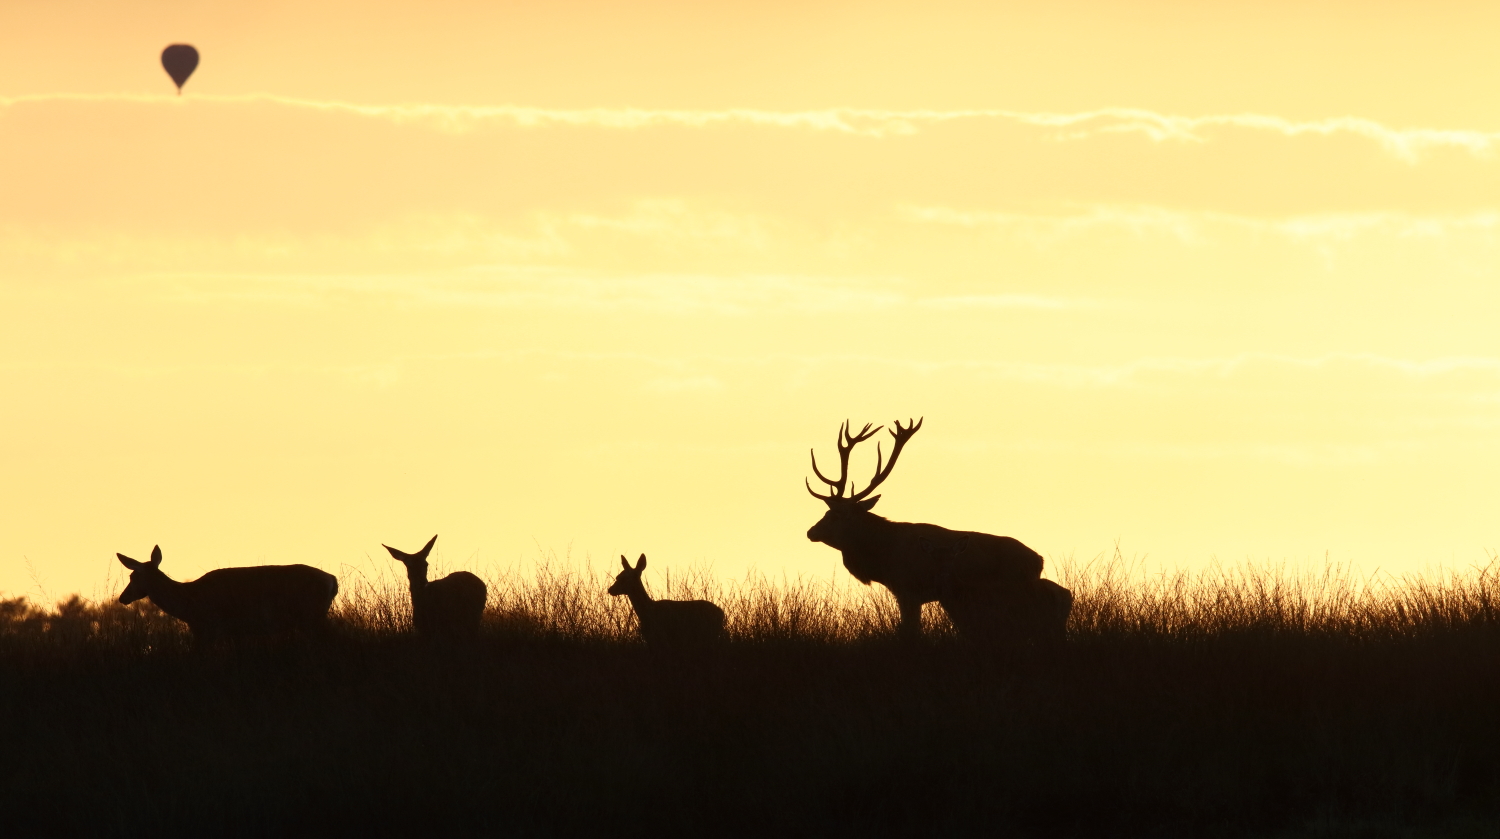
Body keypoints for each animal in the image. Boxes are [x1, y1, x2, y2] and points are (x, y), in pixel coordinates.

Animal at [116, 545, 338, 646]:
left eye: (133, 576)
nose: (122, 598)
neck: (188, 604)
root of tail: (332, 580)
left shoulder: (208, 627)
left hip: (310, 616)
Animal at [805, 418, 1071, 644]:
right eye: (826, 512)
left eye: (836, 515)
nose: (811, 532)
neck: (884, 555)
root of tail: (1039, 560)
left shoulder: (908, 589)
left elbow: (910, 630)